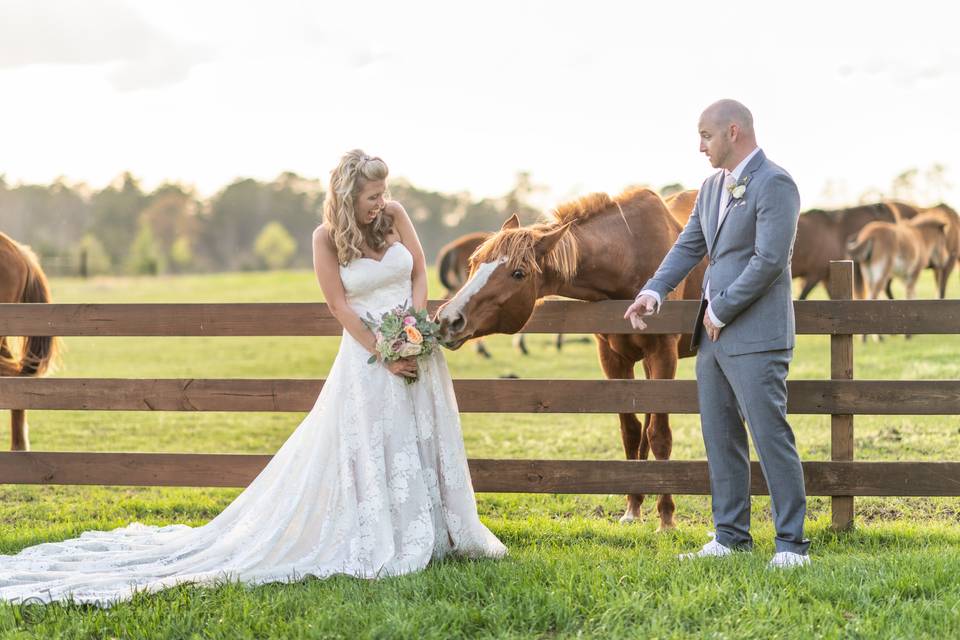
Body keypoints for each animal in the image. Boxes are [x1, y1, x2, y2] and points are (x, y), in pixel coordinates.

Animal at [436, 186, 704, 528]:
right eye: (474, 263)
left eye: (518, 273)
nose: (449, 319)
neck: (630, 256)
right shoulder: (613, 358)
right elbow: (630, 431)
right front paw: (632, 507)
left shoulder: (663, 354)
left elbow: (660, 434)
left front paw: (666, 518)